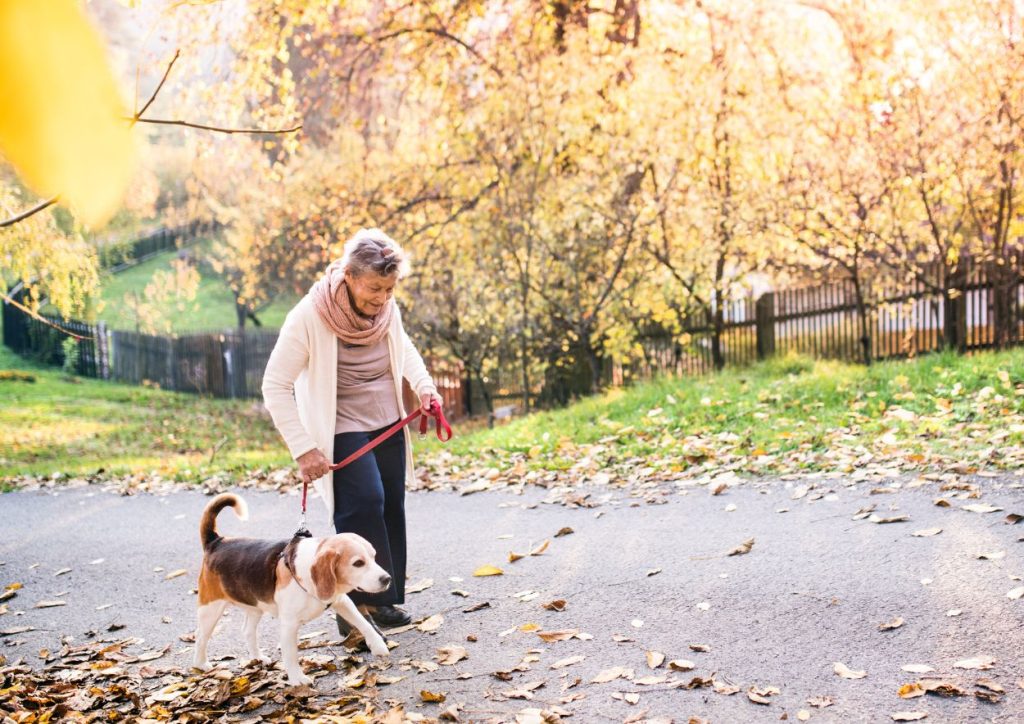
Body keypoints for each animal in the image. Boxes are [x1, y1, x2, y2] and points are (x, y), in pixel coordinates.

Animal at [193, 493, 389, 684]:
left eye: (374, 556)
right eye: (358, 563)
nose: (387, 579)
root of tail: (216, 541)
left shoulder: (341, 601)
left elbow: (363, 623)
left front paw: (377, 644)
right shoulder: (289, 624)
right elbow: (291, 655)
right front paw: (297, 679)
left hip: (254, 606)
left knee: (247, 631)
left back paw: (257, 657)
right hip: (210, 609)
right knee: (201, 637)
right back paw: (201, 665)